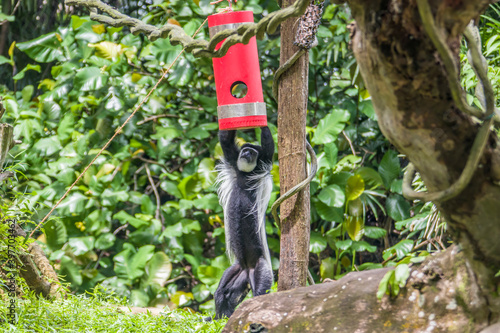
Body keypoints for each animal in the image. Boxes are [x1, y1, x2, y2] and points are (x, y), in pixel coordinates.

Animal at [212, 126, 274, 318]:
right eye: (245, 149)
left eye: (252, 152)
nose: (246, 153)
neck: (246, 174)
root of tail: (248, 269)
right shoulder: (233, 159)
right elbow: (225, 140)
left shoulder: (264, 162)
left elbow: (269, 147)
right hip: (235, 271)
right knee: (221, 292)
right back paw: (220, 315)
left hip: (261, 268)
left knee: (260, 292)